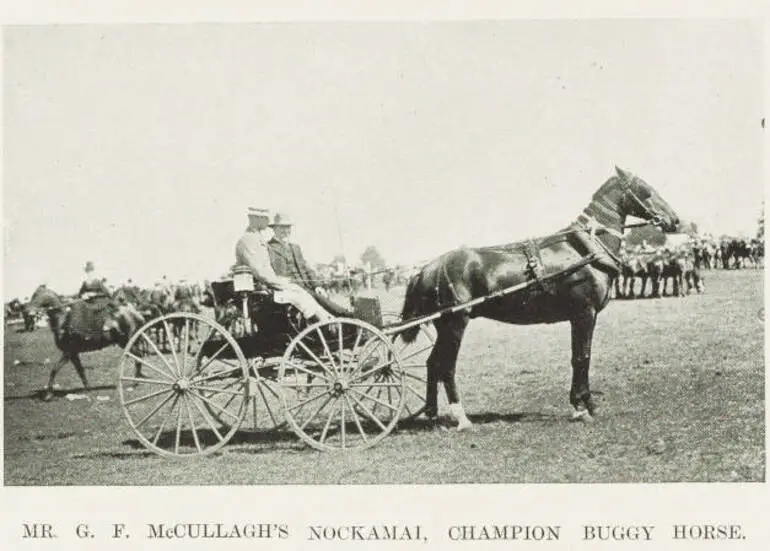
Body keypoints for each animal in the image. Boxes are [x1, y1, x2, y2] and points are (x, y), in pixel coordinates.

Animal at [396, 168, 680, 432]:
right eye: (645, 189)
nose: (674, 220)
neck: (586, 249)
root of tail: (426, 268)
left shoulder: (586, 316)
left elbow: (582, 356)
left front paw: (584, 404)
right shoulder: (584, 313)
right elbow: (581, 357)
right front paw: (581, 408)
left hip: (443, 325)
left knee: (432, 363)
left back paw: (432, 414)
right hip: (455, 322)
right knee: (446, 366)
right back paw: (461, 418)